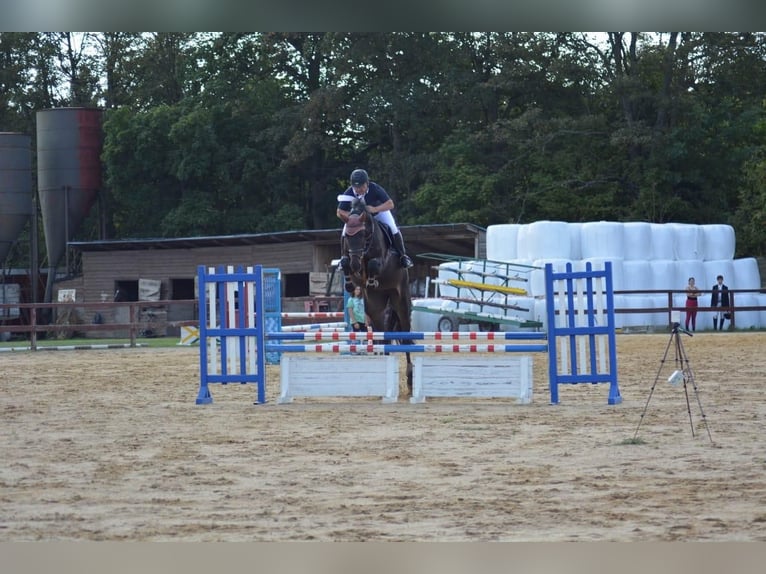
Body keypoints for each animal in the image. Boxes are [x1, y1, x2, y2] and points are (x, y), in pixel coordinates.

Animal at [342, 196, 414, 394]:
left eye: (362, 234)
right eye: (348, 237)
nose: (356, 265)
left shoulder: (380, 260)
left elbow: (374, 264)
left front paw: (371, 277)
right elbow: (344, 261)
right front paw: (349, 282)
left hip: (400, 300)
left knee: (406, 334)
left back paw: (411, 379)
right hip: (375, 307)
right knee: (383, 334)